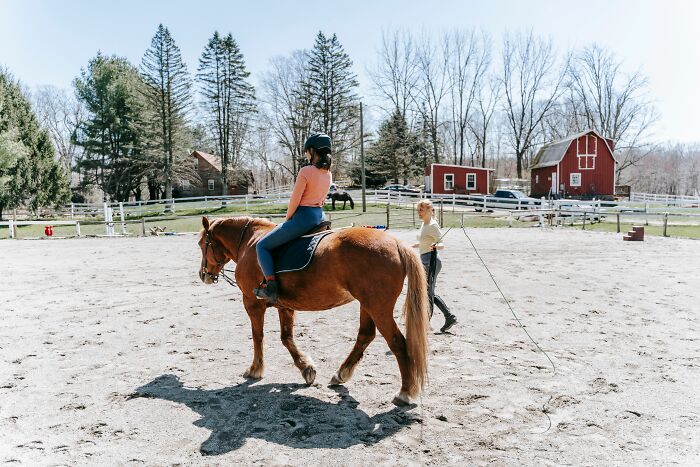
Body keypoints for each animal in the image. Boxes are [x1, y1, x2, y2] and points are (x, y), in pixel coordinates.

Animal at [198, 216, 429, 406]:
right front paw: (306, 368)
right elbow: (286, 338)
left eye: (202, 244)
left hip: (378, 308)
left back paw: (404, 393)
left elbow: (258, 336)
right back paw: (341, 374)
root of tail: (395, 242)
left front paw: (255, 369)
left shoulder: (252, 303)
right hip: (368, 305)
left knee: (397, 342)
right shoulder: (285, 306)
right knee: (365, 335)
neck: (250, 241)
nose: (203, 274)